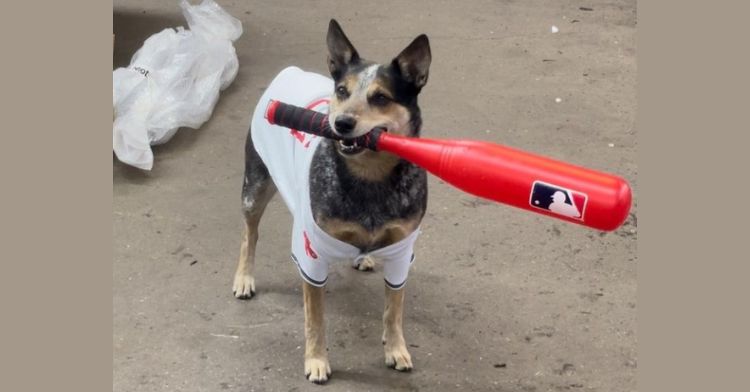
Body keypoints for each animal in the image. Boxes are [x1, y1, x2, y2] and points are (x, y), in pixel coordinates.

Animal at [232, 19, 432, 384]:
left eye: (381, 97)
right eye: (341, 91)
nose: (342, 123)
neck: (370, 179)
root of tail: (290, 72)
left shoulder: (401, 251)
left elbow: (393, 310)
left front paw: (396, 348)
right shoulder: (311, 256)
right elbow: (316, 320)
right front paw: (316, 360)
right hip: (255, 185)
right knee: (249, 233)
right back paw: (244, 277)